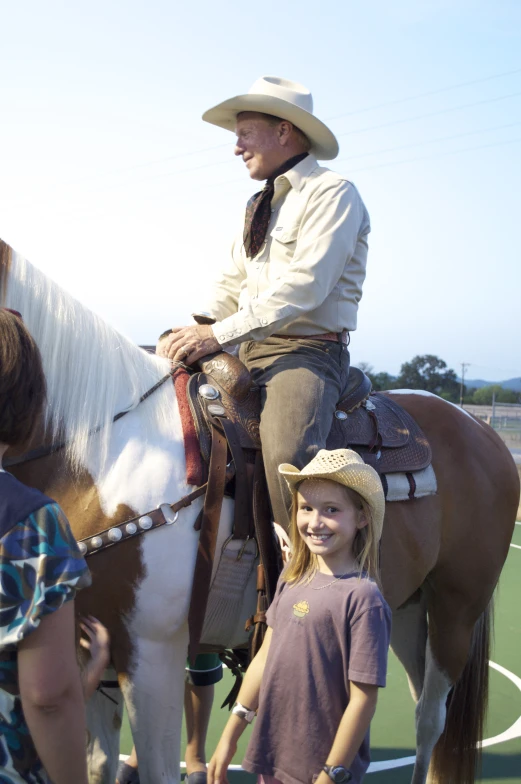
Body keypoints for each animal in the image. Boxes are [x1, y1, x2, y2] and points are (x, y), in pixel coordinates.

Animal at [2, 239, 516, 784]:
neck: (106, 449)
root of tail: (481, 430)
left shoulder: (152, 655)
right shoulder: (91, 649)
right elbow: (98, 763)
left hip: (456, 607)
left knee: (430, 718)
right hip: (409, 605)